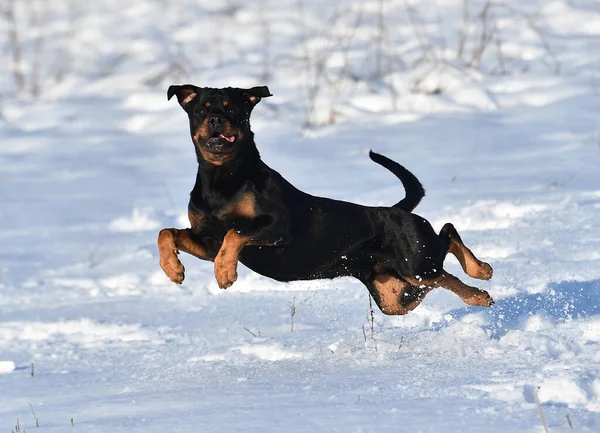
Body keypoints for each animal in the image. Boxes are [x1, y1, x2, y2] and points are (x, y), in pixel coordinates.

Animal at [158, 84, 492, 314]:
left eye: (232, 109)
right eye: (201, 110)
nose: (215, 120)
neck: (221, 179)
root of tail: (398, 210)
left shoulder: (278, 227)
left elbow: (235, 232)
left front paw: (225, 273)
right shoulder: (207, 241)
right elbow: (167, 233)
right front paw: (173, 269)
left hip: (416, 262)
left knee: (447, 241)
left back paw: (480, 280)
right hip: (394, 294)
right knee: (437, 268)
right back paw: (479, 280)